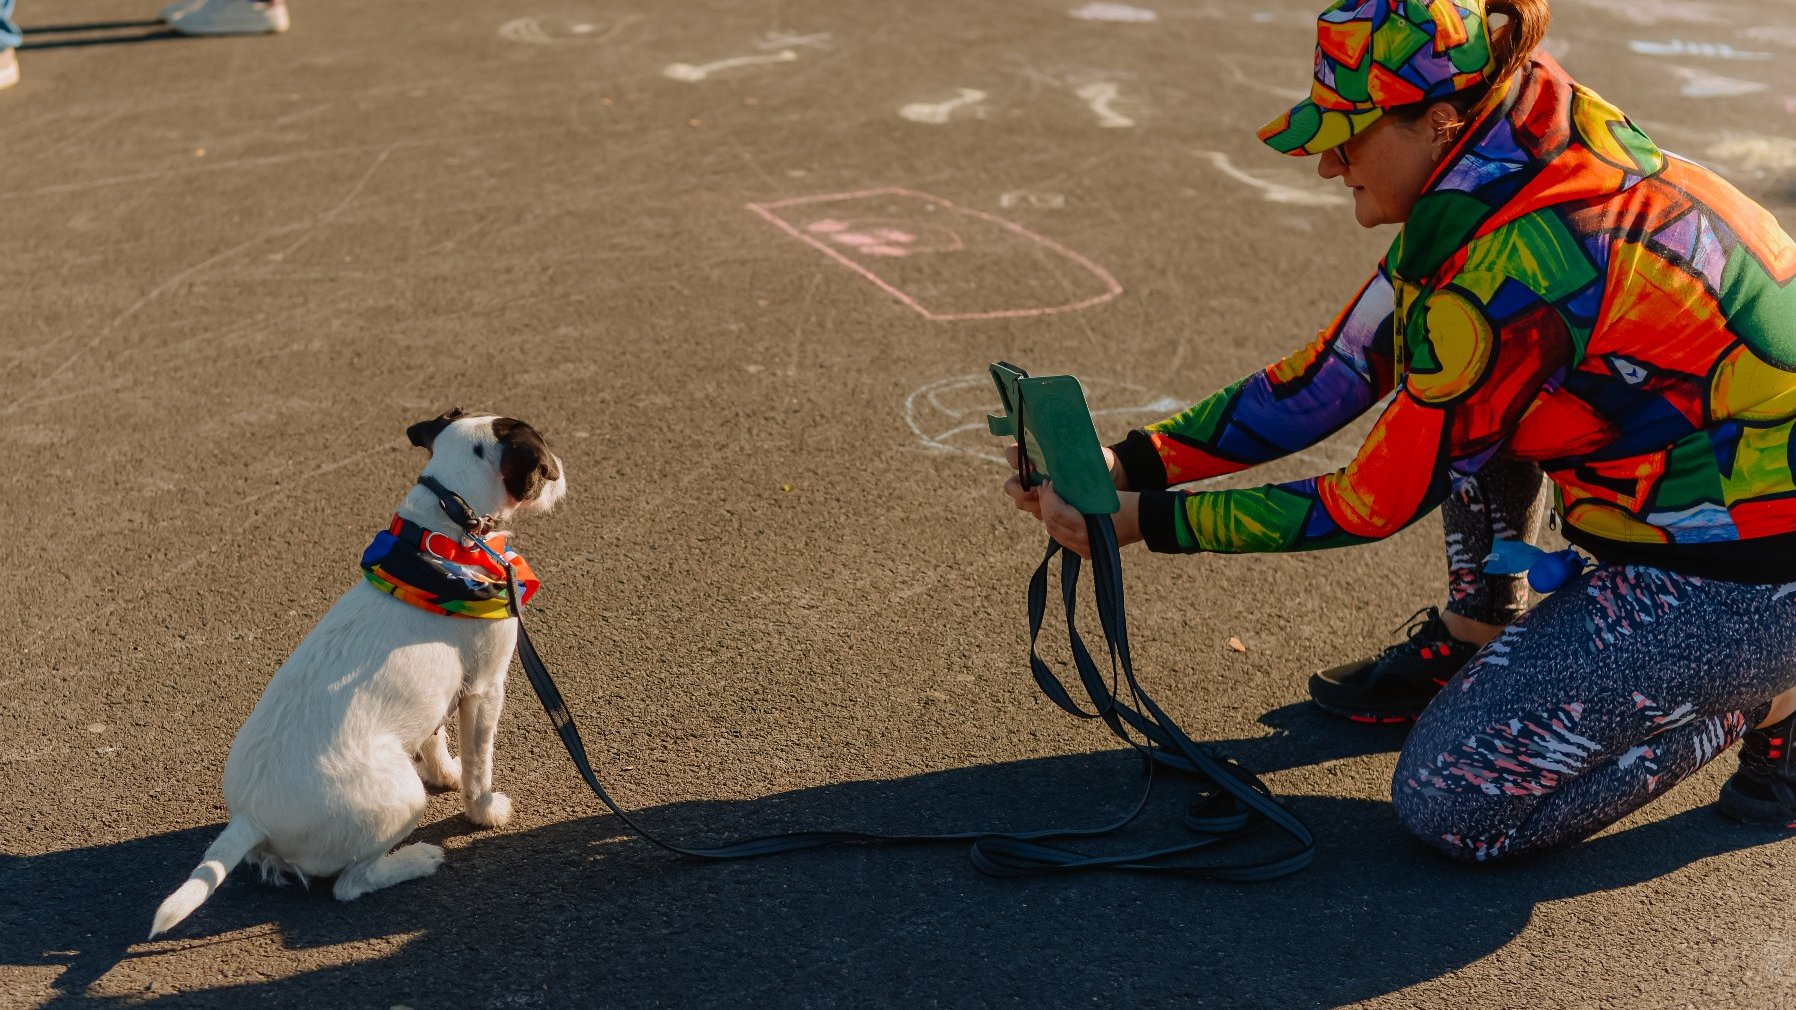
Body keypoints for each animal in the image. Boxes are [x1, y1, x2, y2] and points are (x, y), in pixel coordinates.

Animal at [153, 404, 563, 934]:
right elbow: (481, 764)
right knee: (351, 883)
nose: (562, 469)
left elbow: (435, 737)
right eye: (542, 453)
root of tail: (251, 817)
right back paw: (417, 860)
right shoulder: (486, 687)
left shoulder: (441, 694)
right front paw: (485, 810)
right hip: (400, 800)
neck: (449, 535)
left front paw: (445, 772)